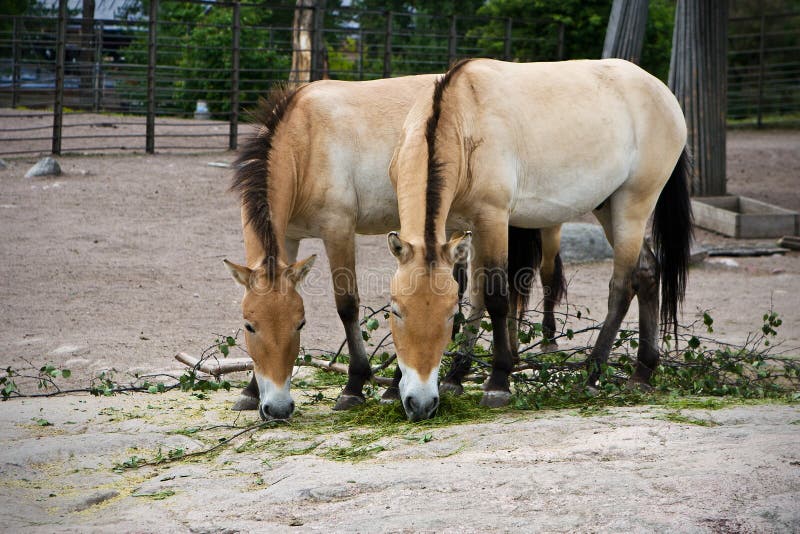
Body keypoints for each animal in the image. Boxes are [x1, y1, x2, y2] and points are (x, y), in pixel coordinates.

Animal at [224, 75, 568, 419]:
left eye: (301, 324)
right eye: (249, 326)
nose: (277, 408)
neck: (305, 138)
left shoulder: (338, 230)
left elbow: (347, 305)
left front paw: (354, 387)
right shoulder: (288, 239)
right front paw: (250, 392)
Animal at [387, 58, 692, 421]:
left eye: (448, 316)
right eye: (396, 311)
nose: (419, 403)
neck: (462, 116)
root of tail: (663, 95)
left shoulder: (493, 220)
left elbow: (495, 296)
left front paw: (498, 382)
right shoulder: (456, 228)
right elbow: (473, 295)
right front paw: (451, 377)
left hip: (633, 207)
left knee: (622, 286)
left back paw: (592, 375)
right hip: (609, 208)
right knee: (647, 272)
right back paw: (642, 374)